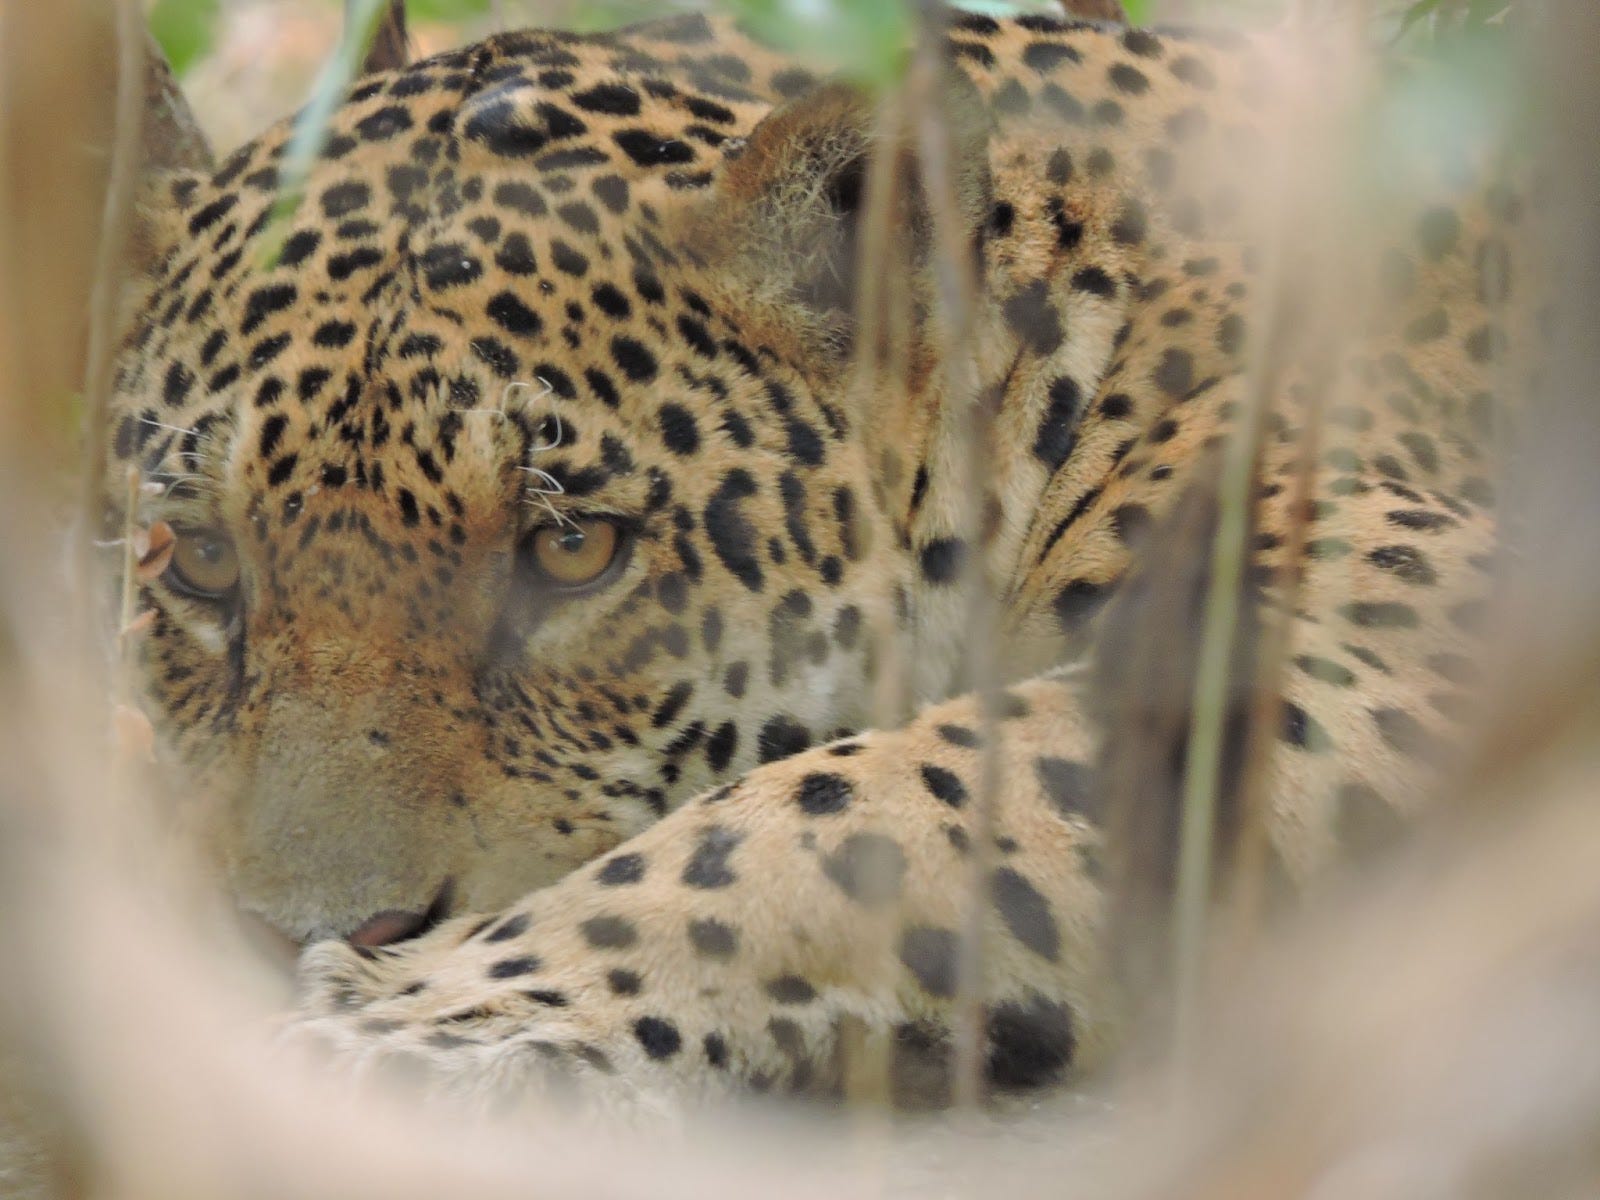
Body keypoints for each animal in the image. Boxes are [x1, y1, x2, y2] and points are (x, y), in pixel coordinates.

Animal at [103, 0, 1523, 1113]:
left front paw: (427, 1017)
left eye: (571, 549)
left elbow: (849, 806)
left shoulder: (1386, 594)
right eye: (202, 562)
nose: (289, 936)